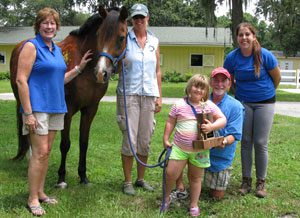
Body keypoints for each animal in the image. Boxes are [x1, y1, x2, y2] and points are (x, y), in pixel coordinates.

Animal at [9, 6, 127, 187]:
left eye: (121, 37)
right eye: (99, 35)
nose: (101, 73)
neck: (86, 70)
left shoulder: (90, 109)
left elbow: (84, 142)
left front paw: (83, 176)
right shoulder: (67, 111)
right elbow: (65, 144)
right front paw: (61, 178)